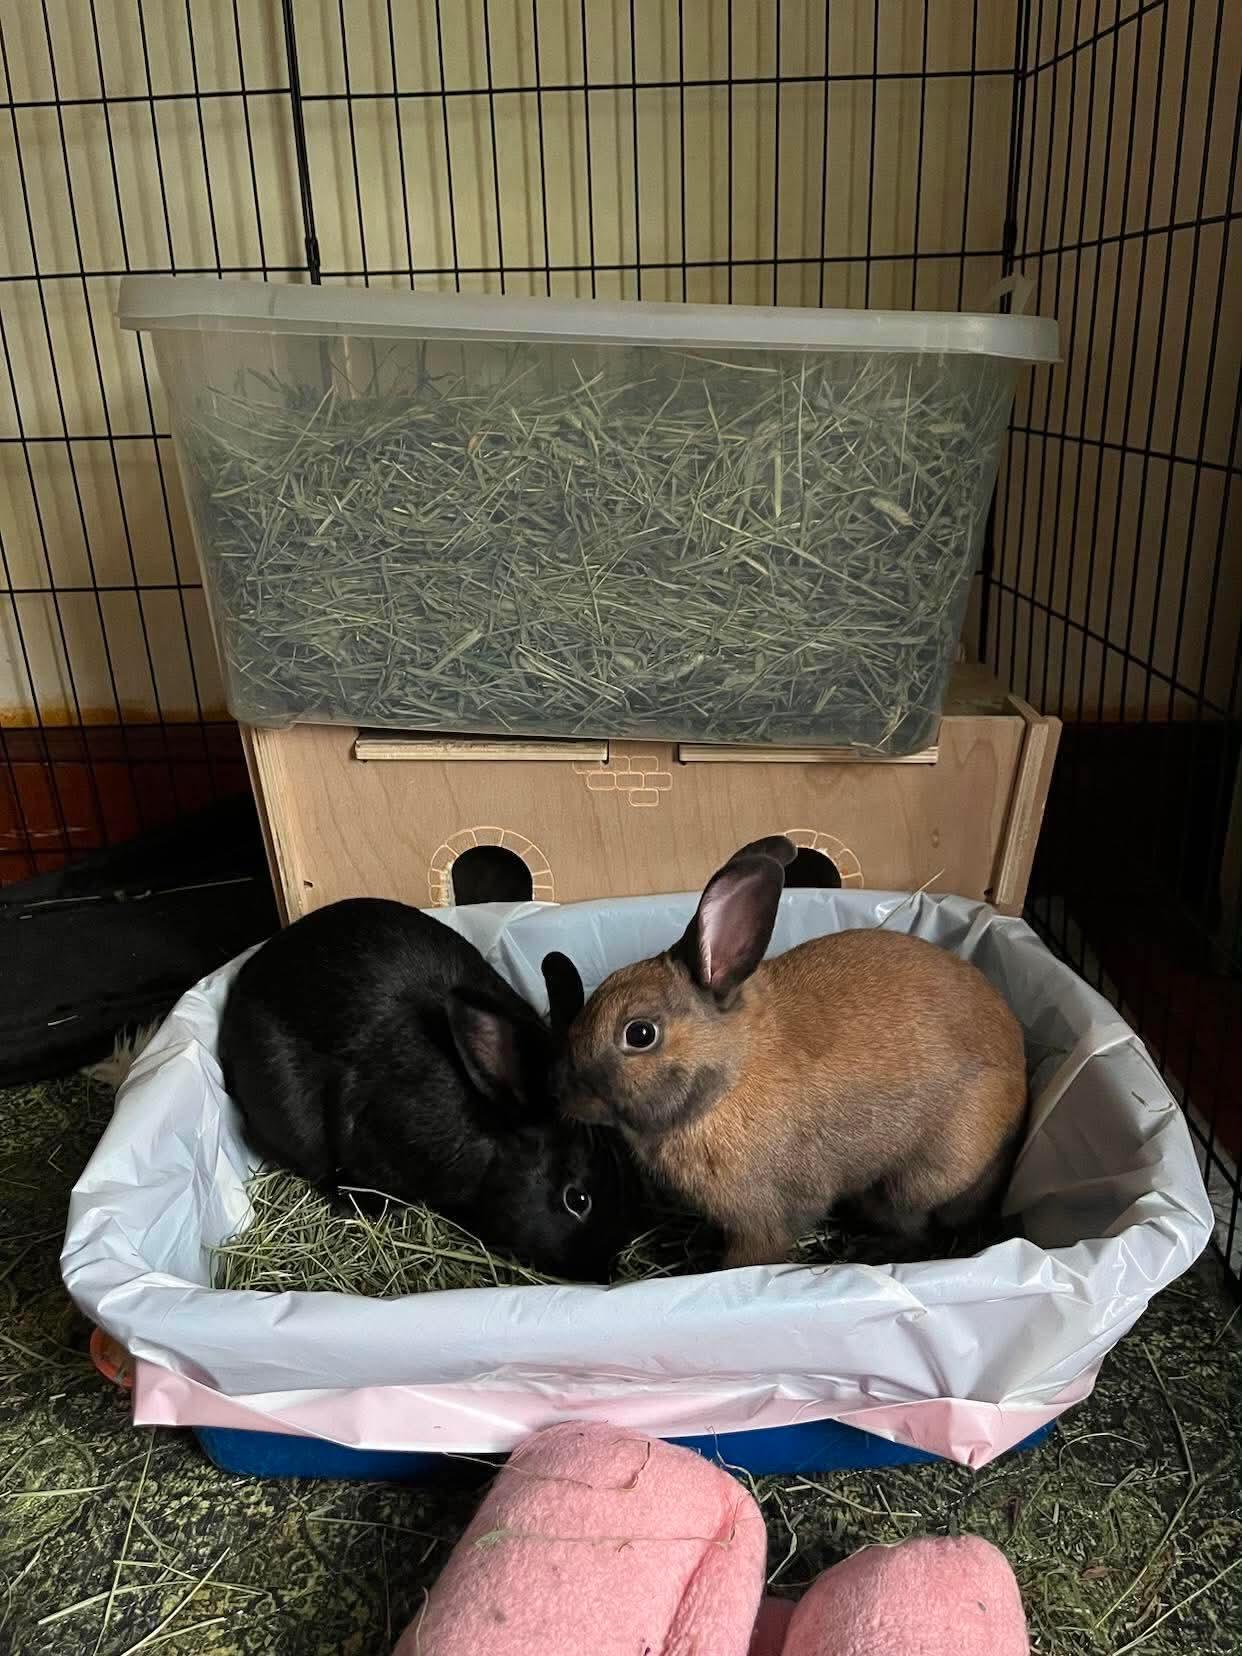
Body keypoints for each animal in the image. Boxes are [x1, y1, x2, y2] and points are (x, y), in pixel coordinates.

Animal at [554, 837, 1028, 1269]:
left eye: (640, 1033)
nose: (561, 1093)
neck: (728, 1078)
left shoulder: (763, 1219)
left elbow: (753, 1254)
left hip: (915, 1181)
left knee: (915, 1227)